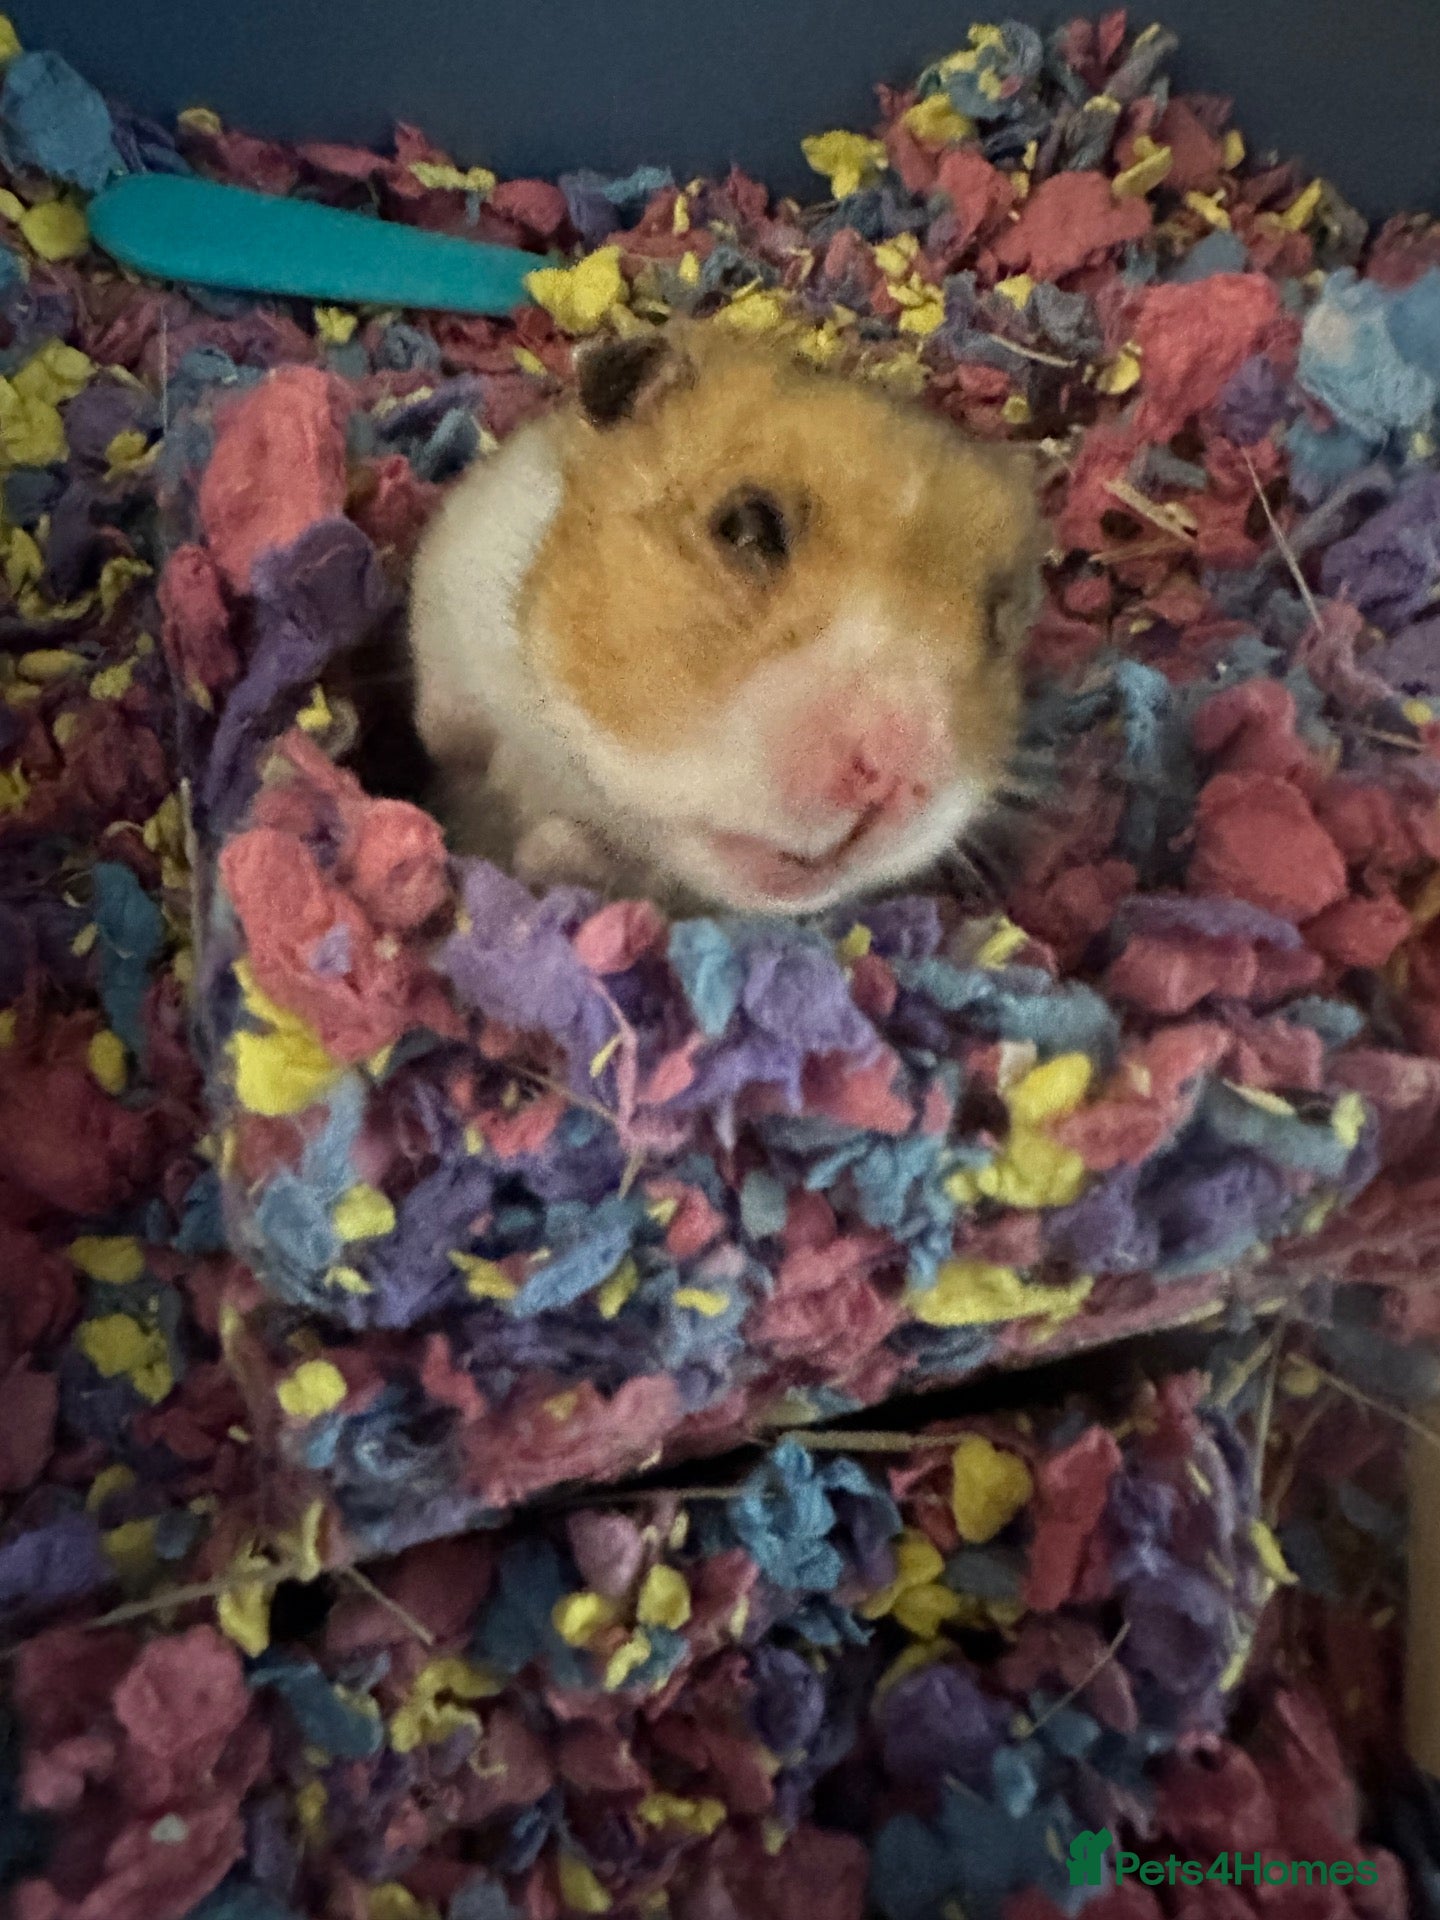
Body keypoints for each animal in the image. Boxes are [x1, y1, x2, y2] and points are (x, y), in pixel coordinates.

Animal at [408, 322, 1043, 914]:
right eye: (746, 527)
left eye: (996, 621)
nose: (895, 780)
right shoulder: (456, 575)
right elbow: (448, 719)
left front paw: (551, 845)